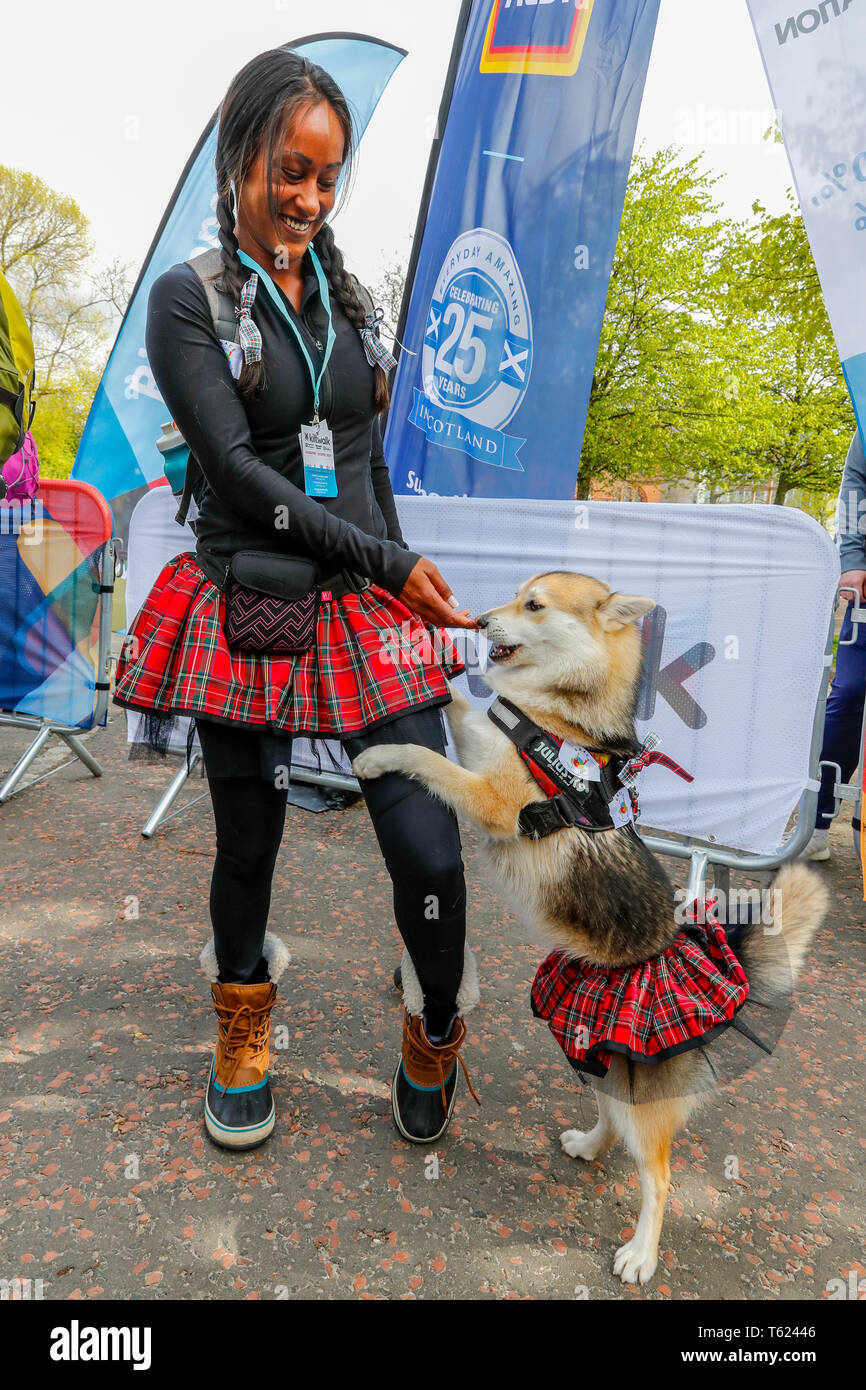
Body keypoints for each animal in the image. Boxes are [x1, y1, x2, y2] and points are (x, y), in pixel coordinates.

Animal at [354, 569, 834, 1284]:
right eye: (515, 596)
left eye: (533, 605)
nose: (478, 620)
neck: (556, 717)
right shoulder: (483, 737)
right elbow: (460, 705)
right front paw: (430, 656)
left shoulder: (493, 798)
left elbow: (426, 754)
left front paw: (380, 754)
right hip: (599, 1055)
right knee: (611, 1115)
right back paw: (587, 1144)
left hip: (645, 1103)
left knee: (657, 1178)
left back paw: (641, 1254)